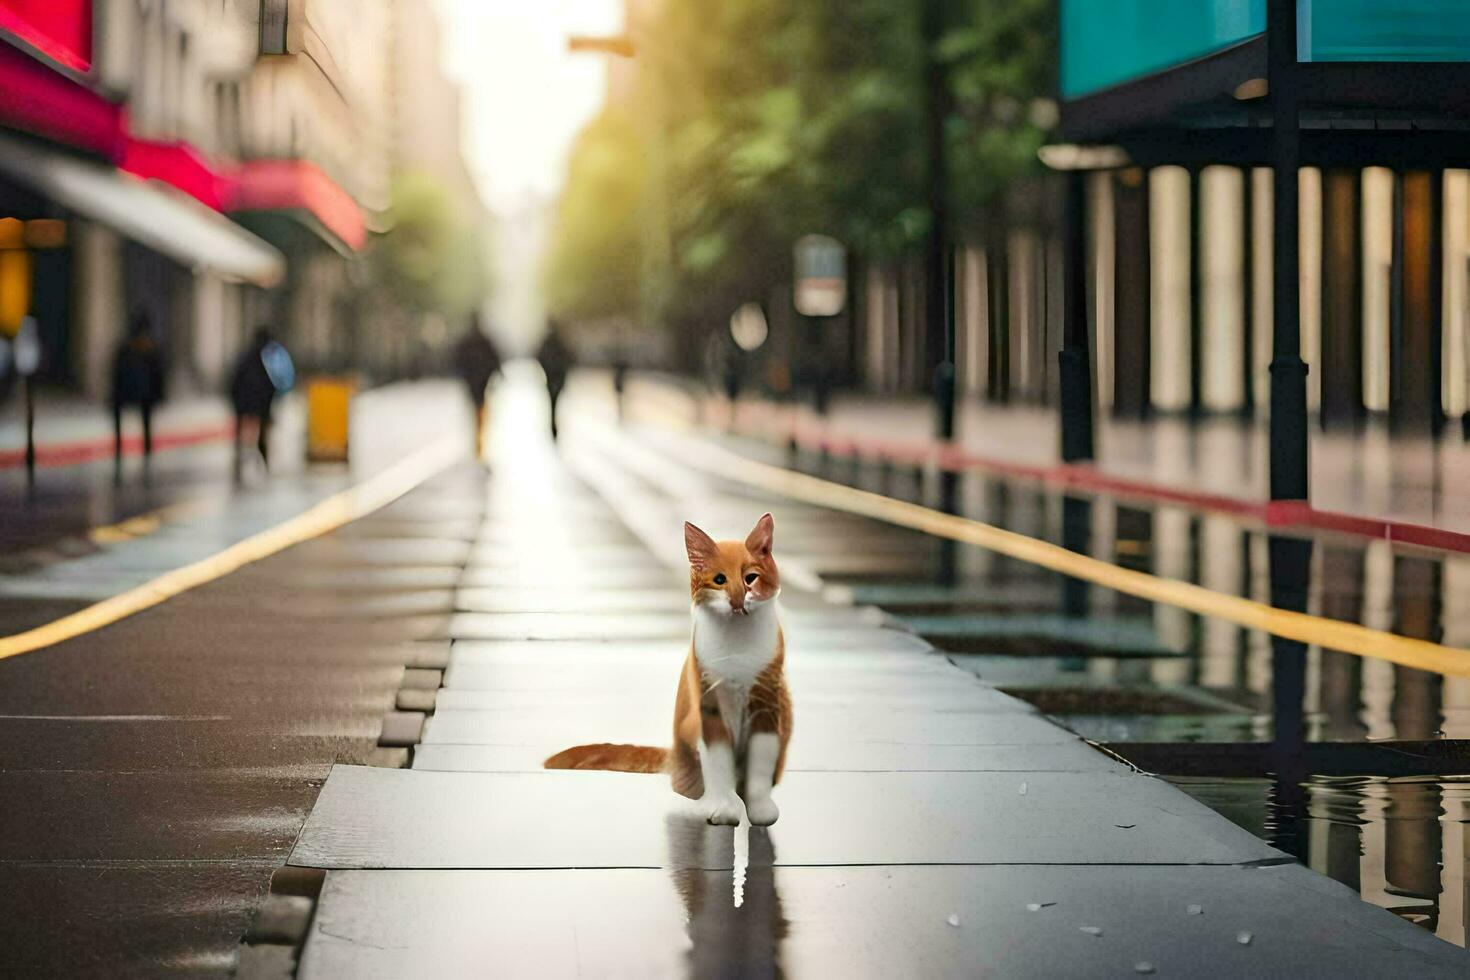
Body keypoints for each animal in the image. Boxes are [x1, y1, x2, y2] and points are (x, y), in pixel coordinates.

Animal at [546, 514, 793, 828]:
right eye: (720, 580)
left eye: (750, 578)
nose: (738, 600)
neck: (737, 642)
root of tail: (673, 756)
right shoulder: (708, 699)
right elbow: (718, 761)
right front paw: (724, 807)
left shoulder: (767, 700)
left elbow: (761, 763)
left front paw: (759, 808)